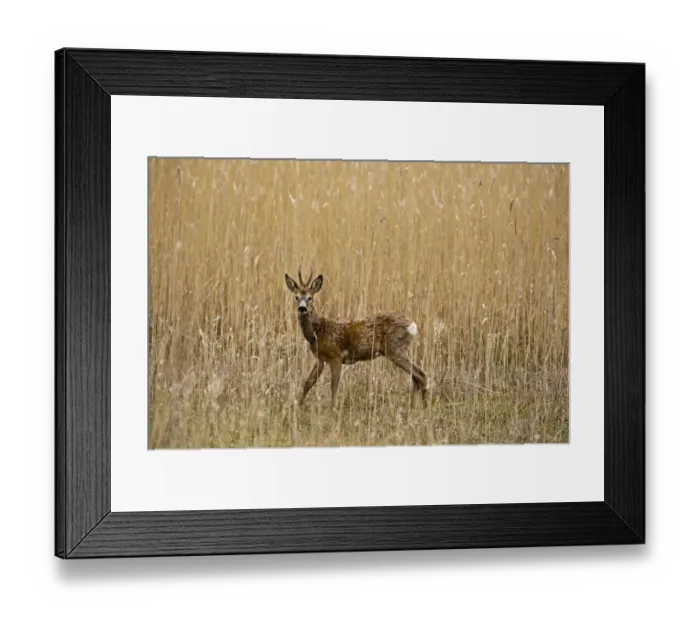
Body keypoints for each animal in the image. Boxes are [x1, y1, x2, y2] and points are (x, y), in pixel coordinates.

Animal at [284, 267, 429, 409]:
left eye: (310, 298)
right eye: (296, 297)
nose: (302, 308)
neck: (318, 332)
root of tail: (413, 325)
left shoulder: (335, 356)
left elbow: (334, 386)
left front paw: (333, 409)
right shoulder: (321, 359)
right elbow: (308, 383)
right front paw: (298, 405)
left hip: (396, 349)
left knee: (421, 375)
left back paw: (424, 408)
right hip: (397, 350)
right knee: (416, 377)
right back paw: (413, 407)